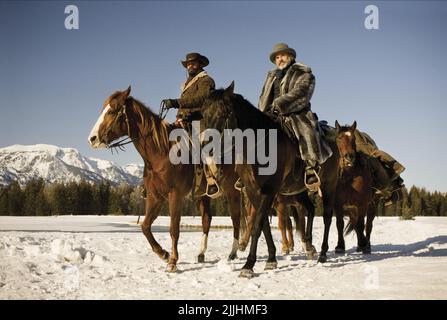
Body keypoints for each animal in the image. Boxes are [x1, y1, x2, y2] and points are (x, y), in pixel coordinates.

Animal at [87, 86, 242, 272]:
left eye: (113, 110)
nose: (92, 139)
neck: (161, 152)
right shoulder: (155, 196)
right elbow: (145, 226)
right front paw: (163, 254)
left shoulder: (175, 195)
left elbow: (174, 228)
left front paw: (173, 261)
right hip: (203, 195)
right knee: (207, 219)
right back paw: (201, 253)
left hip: (233, 191)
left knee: (237, 219)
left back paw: (233, 253)